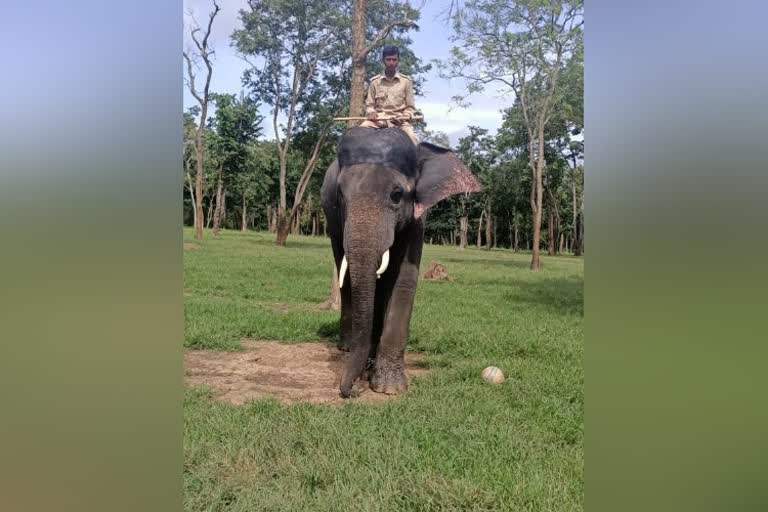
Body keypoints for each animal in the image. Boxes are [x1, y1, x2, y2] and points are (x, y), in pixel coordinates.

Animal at [320, 126, 480, 398]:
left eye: (397, 195)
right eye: (340, 195)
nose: (353, 391)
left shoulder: (417, 218)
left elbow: (404, 278)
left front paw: (389, 388)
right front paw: (372, 376)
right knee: (345, 272)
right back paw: (347, 347)